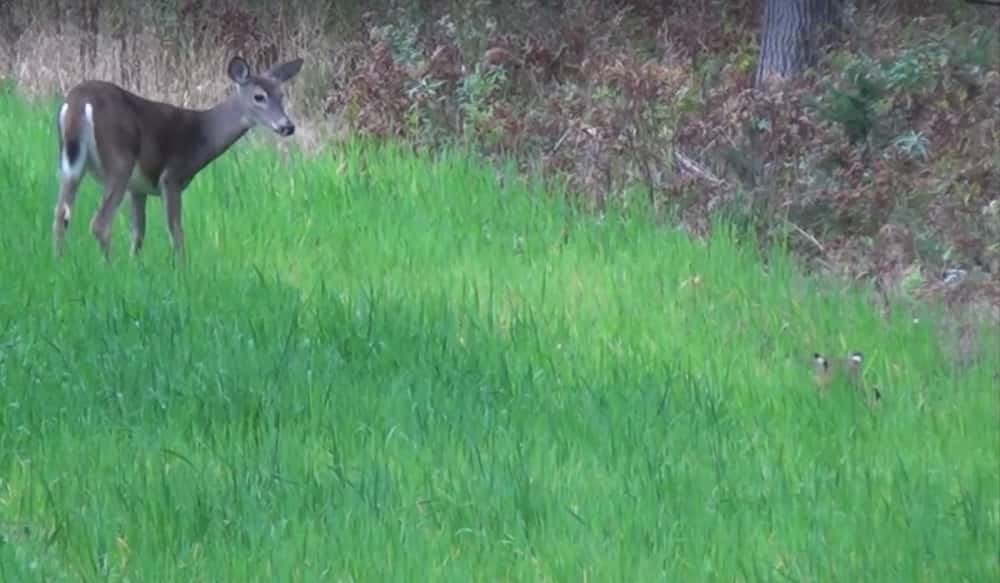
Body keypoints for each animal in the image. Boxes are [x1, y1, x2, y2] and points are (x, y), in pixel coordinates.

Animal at [52, 55, 304, 261]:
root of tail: (78, 101)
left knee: (61, 213)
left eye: (281, 95)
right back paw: (108, 267)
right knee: (99, 223)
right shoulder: (172, 176)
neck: (202, 136)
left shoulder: (138, 187)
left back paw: (61, 262)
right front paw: (182, 271)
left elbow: (139, 232)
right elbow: (176, 233)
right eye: (259, 96)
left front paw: (135, 267)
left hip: (71, 163)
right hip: (119, 160)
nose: (287, 126)